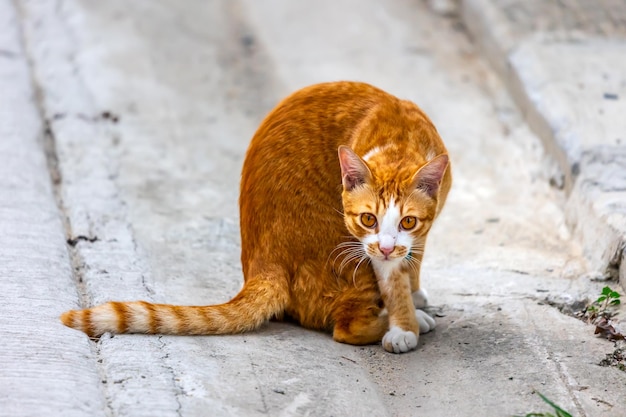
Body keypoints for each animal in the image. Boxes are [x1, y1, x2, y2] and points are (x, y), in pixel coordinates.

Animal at [61, 80, 450, 352]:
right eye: (368, 219)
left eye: (408, 221)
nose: (384, 248)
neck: (398, 141)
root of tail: (262, 264)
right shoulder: (365, 245)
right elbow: (393, 277)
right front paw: (404, 323)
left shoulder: (417, 233)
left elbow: (413, 257)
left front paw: (413, 291)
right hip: (345, 257)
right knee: (345, 328)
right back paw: (401, 322)